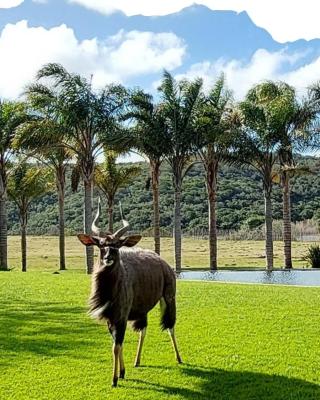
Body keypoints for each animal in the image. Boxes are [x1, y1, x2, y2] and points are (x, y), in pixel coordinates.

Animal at [77, 202, 181, 386]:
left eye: (118, 244)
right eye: (101, 244)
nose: (108, 258)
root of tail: (165, 264)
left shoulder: (121, 317)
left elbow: (116, 346)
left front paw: (114, 379)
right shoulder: (111, 319)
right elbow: (117, 344)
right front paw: (122, 372)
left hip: (169, 299)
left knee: (170, 326)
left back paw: (179, 358)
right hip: (143, 311)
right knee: (143, 330)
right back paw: (137, 361)